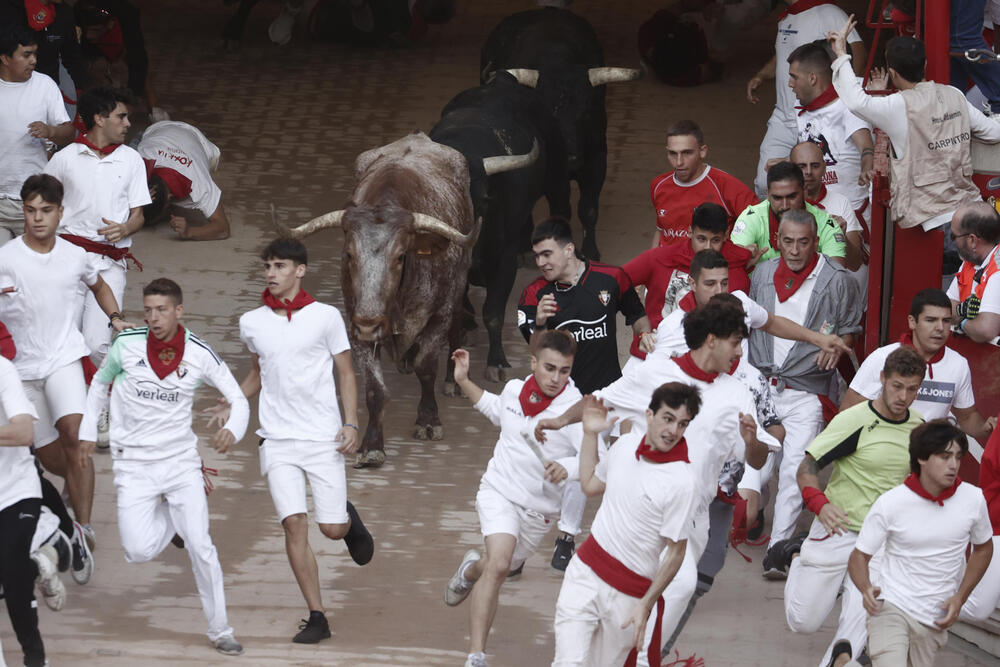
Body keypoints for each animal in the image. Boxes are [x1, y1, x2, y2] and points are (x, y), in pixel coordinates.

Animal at [274, 129, 476, 464]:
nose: (370, 322)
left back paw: (451, 378)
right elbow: (374, 389)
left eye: (400, 256)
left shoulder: (438, 315)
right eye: (349, 254)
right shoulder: (356, 325)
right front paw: (371, 446)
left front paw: (428, 420)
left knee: (459, 317)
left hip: (461, 280)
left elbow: (426, 368)